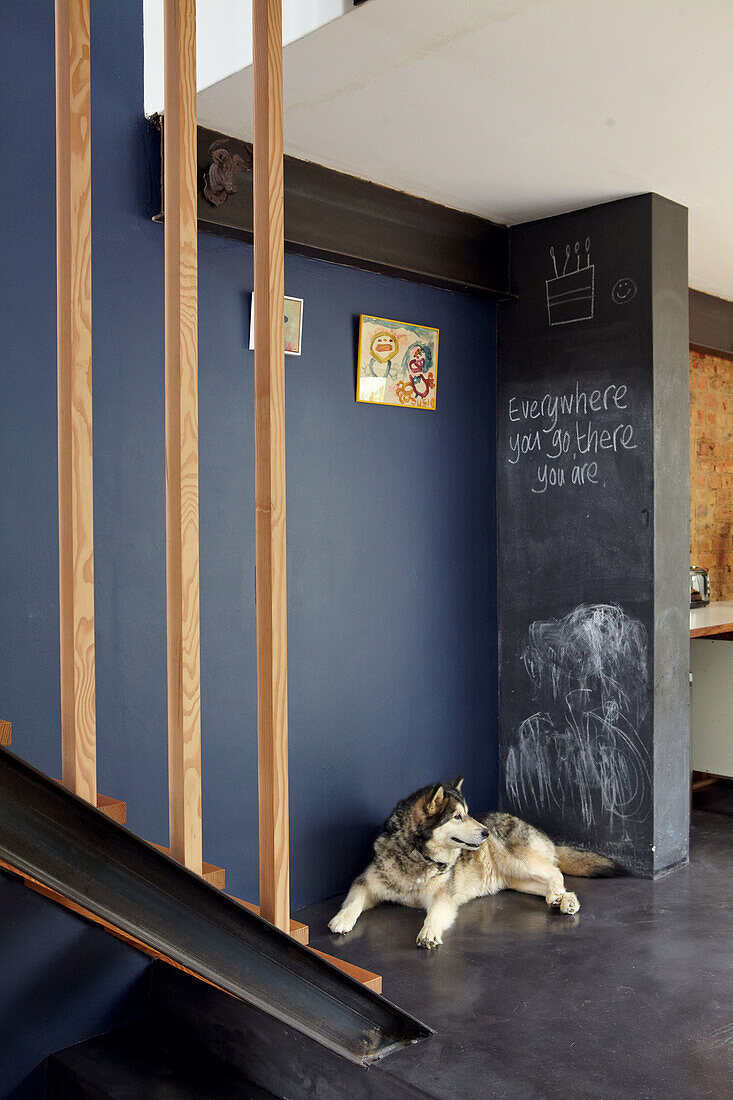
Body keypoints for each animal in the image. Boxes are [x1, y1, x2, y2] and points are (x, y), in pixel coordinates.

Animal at [325, 778, 616, 950]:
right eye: (457, 816)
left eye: (467, 813)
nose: (485, 832)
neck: (417, 855)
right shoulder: (365, 883)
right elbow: (353, 902)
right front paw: (341, 919)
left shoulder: (442, 897)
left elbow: (432, 915)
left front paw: (428, 932)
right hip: (518, 881)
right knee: (552, 883)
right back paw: (563, 901)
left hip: (517, 860)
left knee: (555, 872)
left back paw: (560, 898)